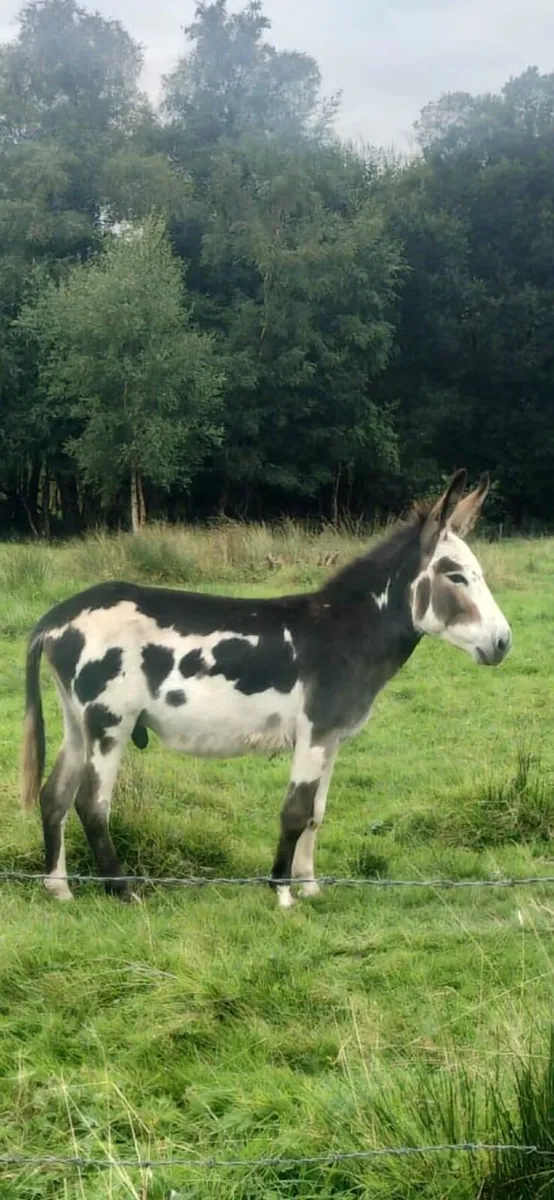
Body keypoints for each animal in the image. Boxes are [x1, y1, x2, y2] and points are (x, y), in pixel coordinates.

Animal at [20, 469, 511, 908]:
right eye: (455, 575)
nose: (503, 642)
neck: (346, 633)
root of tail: (58, 616)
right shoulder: (314, 733)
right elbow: (294, 811)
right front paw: (282, 891)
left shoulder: (331, 738)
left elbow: (316, 813)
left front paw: (310, 886)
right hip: (110, 722)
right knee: (92, 804)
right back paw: (122, 890)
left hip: (78, 722)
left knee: (54, 795)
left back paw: (59, 888)